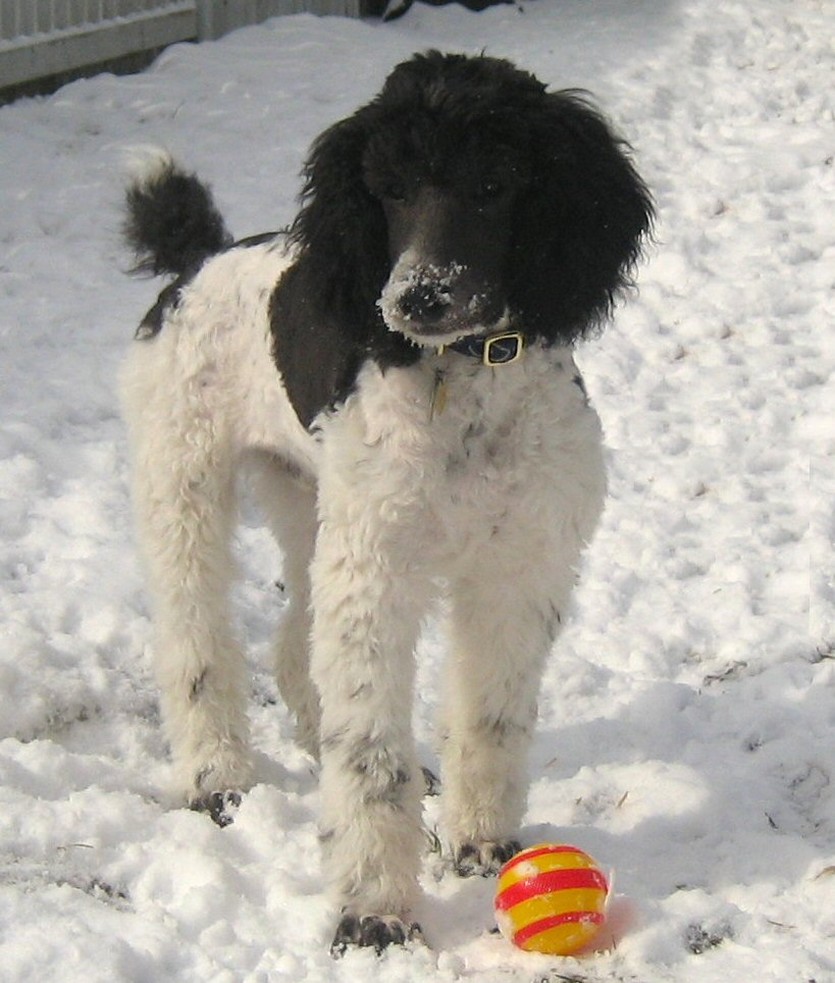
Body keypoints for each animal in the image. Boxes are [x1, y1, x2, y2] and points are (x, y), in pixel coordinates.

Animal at [119, 52, 652, 952]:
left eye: (494, 181)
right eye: (390, 189)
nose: (417, 300)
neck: (462, 376)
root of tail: (201, 260)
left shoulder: (519, 567)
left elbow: (490, 719)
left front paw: (481, 843)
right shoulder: (379, 574)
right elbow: (370, 750)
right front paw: (373, 907)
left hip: (309, 500)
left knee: (296, 646)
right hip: (185, 487)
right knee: (196, 645)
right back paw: (216, 777)